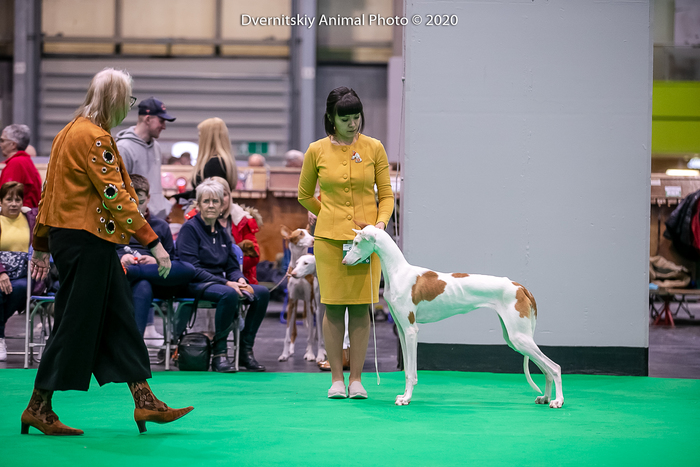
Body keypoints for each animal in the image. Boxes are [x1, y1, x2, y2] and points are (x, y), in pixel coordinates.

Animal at [278, 225, 326, 364]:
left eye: (309, 233)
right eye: (300, 234)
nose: (313, 240)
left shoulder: (310, 303)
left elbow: (310, 334)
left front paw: (310, 354)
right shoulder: (291, 302)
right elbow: (287, 334)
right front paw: (284, 354)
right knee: (294, 331)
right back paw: (290, 351)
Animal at [342, 225, 568, 408]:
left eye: (356, 243)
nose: (344, 261)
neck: (398, 271)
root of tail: (520, 287)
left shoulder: (411, 330)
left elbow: (411, 372)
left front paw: (407, 398)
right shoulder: (401, 330)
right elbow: (407, 370)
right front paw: (404, 396)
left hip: (519, 337)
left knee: (555, 368)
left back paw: (557, 401)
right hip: (514, 337)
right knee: (545, 369)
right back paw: (545, 398)